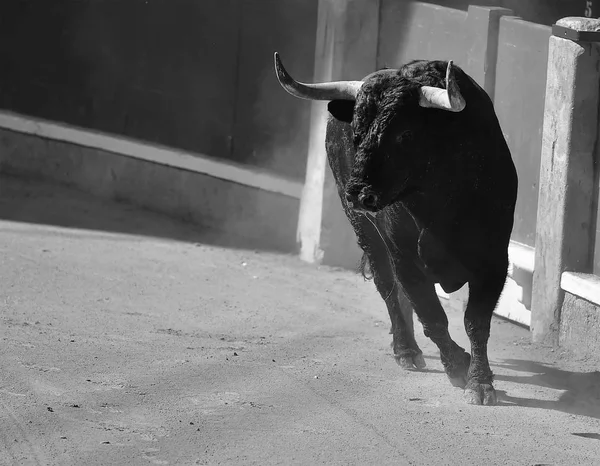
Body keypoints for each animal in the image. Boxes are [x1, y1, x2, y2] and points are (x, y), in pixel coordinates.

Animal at [274, 53, 516, 404]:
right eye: (357, 130)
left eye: (405, 135)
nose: (357, 193)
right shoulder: (404, 257)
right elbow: (432, 316)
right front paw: (458, 366)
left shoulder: (494, 260)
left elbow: (476, 322)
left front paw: (480, 382)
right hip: (367, 233)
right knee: (388, 288)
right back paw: (406, 349)